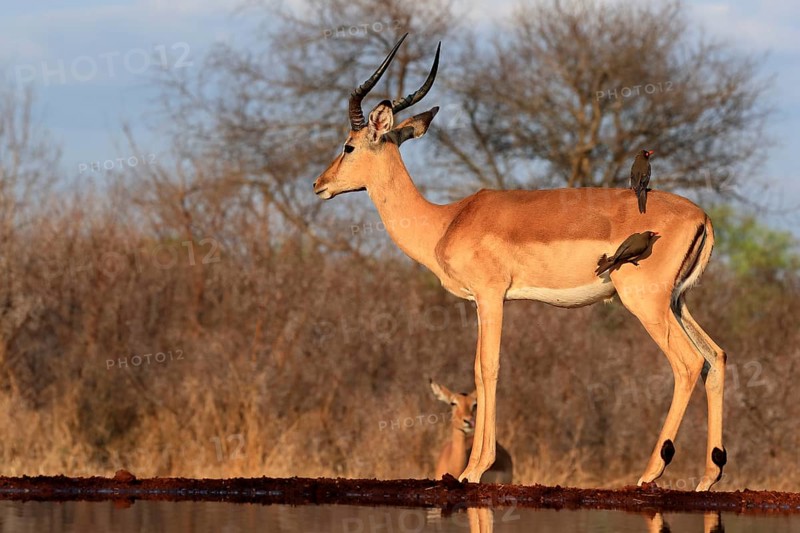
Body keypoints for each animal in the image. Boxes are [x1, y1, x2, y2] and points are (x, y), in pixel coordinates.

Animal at [313, 34, 727, 491]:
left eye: (348, 145)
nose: (319, 184)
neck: (447, 220)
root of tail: (702, 216)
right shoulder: (481, 302)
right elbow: (478, 370)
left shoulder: (491, 296)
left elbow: (487, 368)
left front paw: (475, 468)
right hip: (677, 302)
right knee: (715, 358)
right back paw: (708, 476)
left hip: (645, 302)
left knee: (688, 364)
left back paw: (651, 471)